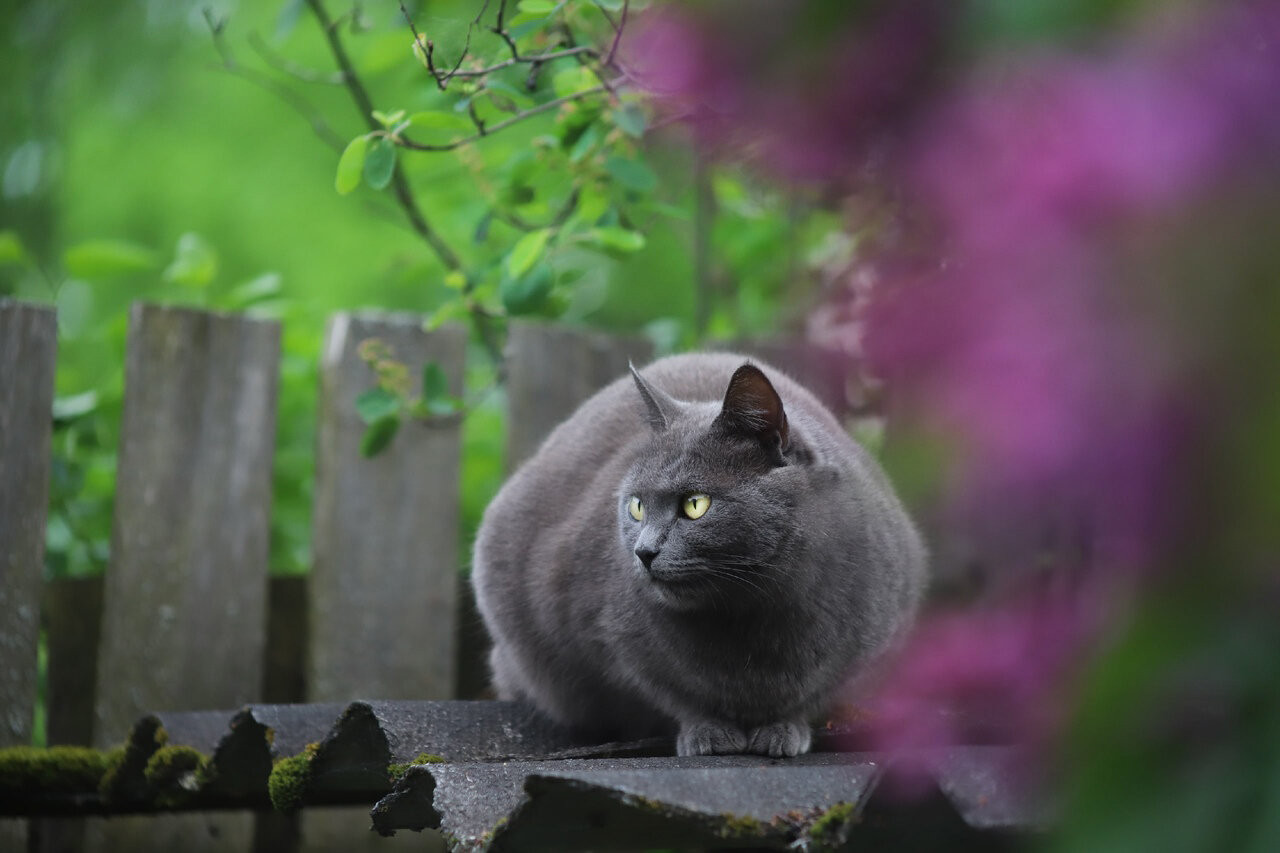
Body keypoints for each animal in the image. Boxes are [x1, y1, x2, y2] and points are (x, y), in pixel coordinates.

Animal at [476, 350, 926, 753]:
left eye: (695, 504)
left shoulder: (875, 636)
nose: (643, 551)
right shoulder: (615, 641)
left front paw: (784, 729)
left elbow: (816, 694)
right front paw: (709, 732)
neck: (755, 618)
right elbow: (673, 694)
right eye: (636, 506)